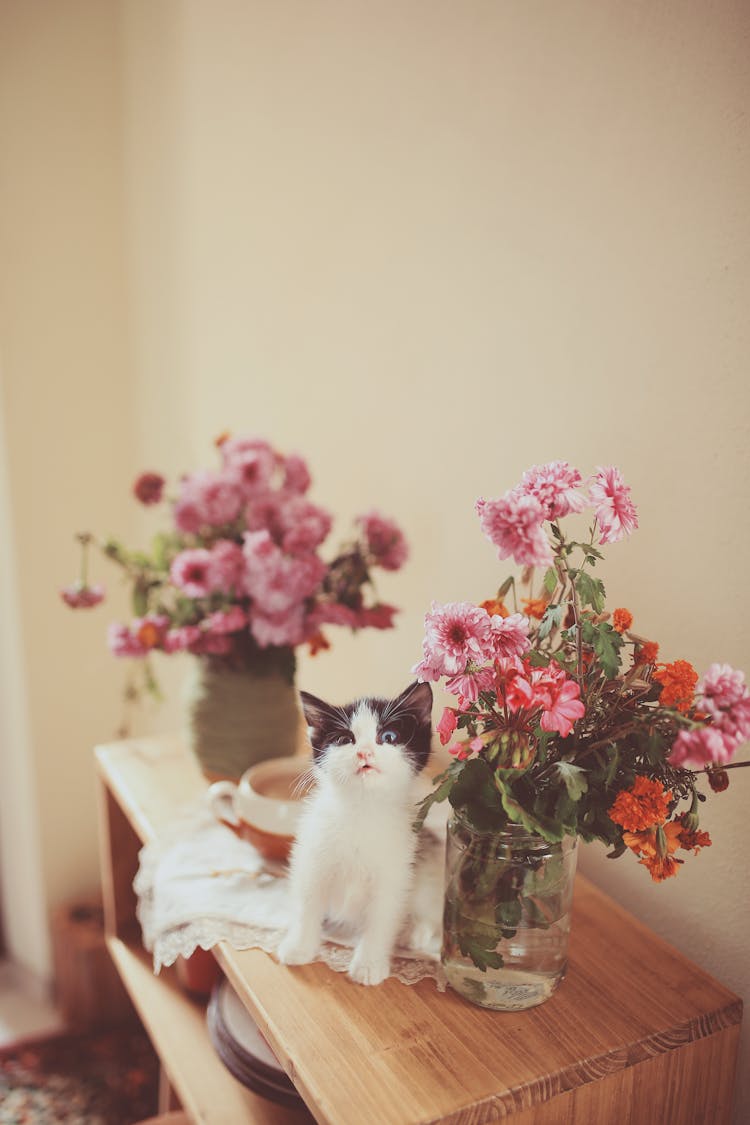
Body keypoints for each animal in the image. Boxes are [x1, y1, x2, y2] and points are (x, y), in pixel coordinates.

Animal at [278, 675, 436, 985]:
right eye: (344, 739)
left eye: (388, 737)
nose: (364, 752)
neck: (362, 808)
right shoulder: (313, 857)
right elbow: (307, 903)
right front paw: (300, 947)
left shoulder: (394, 872)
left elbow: (382, 919)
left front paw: (369, 965)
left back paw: (416, 931)